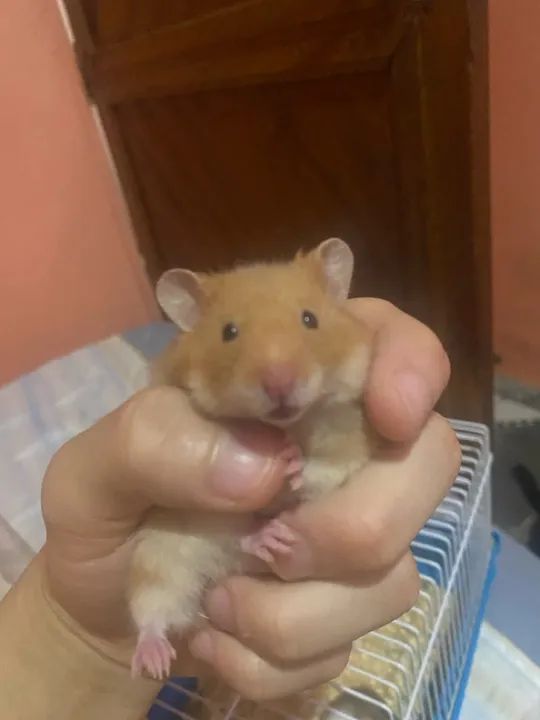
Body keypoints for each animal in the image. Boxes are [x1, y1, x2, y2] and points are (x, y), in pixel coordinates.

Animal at [129, 238, 376, 680]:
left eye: (310, 319)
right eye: (229, 332)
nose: (280, 384)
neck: (289, 423)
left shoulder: (349, 439)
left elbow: (327, 468)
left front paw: (292, 462)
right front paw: (284, 453)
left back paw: (270, 534)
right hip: (161, 552)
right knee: (157, 606)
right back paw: (151, 663)